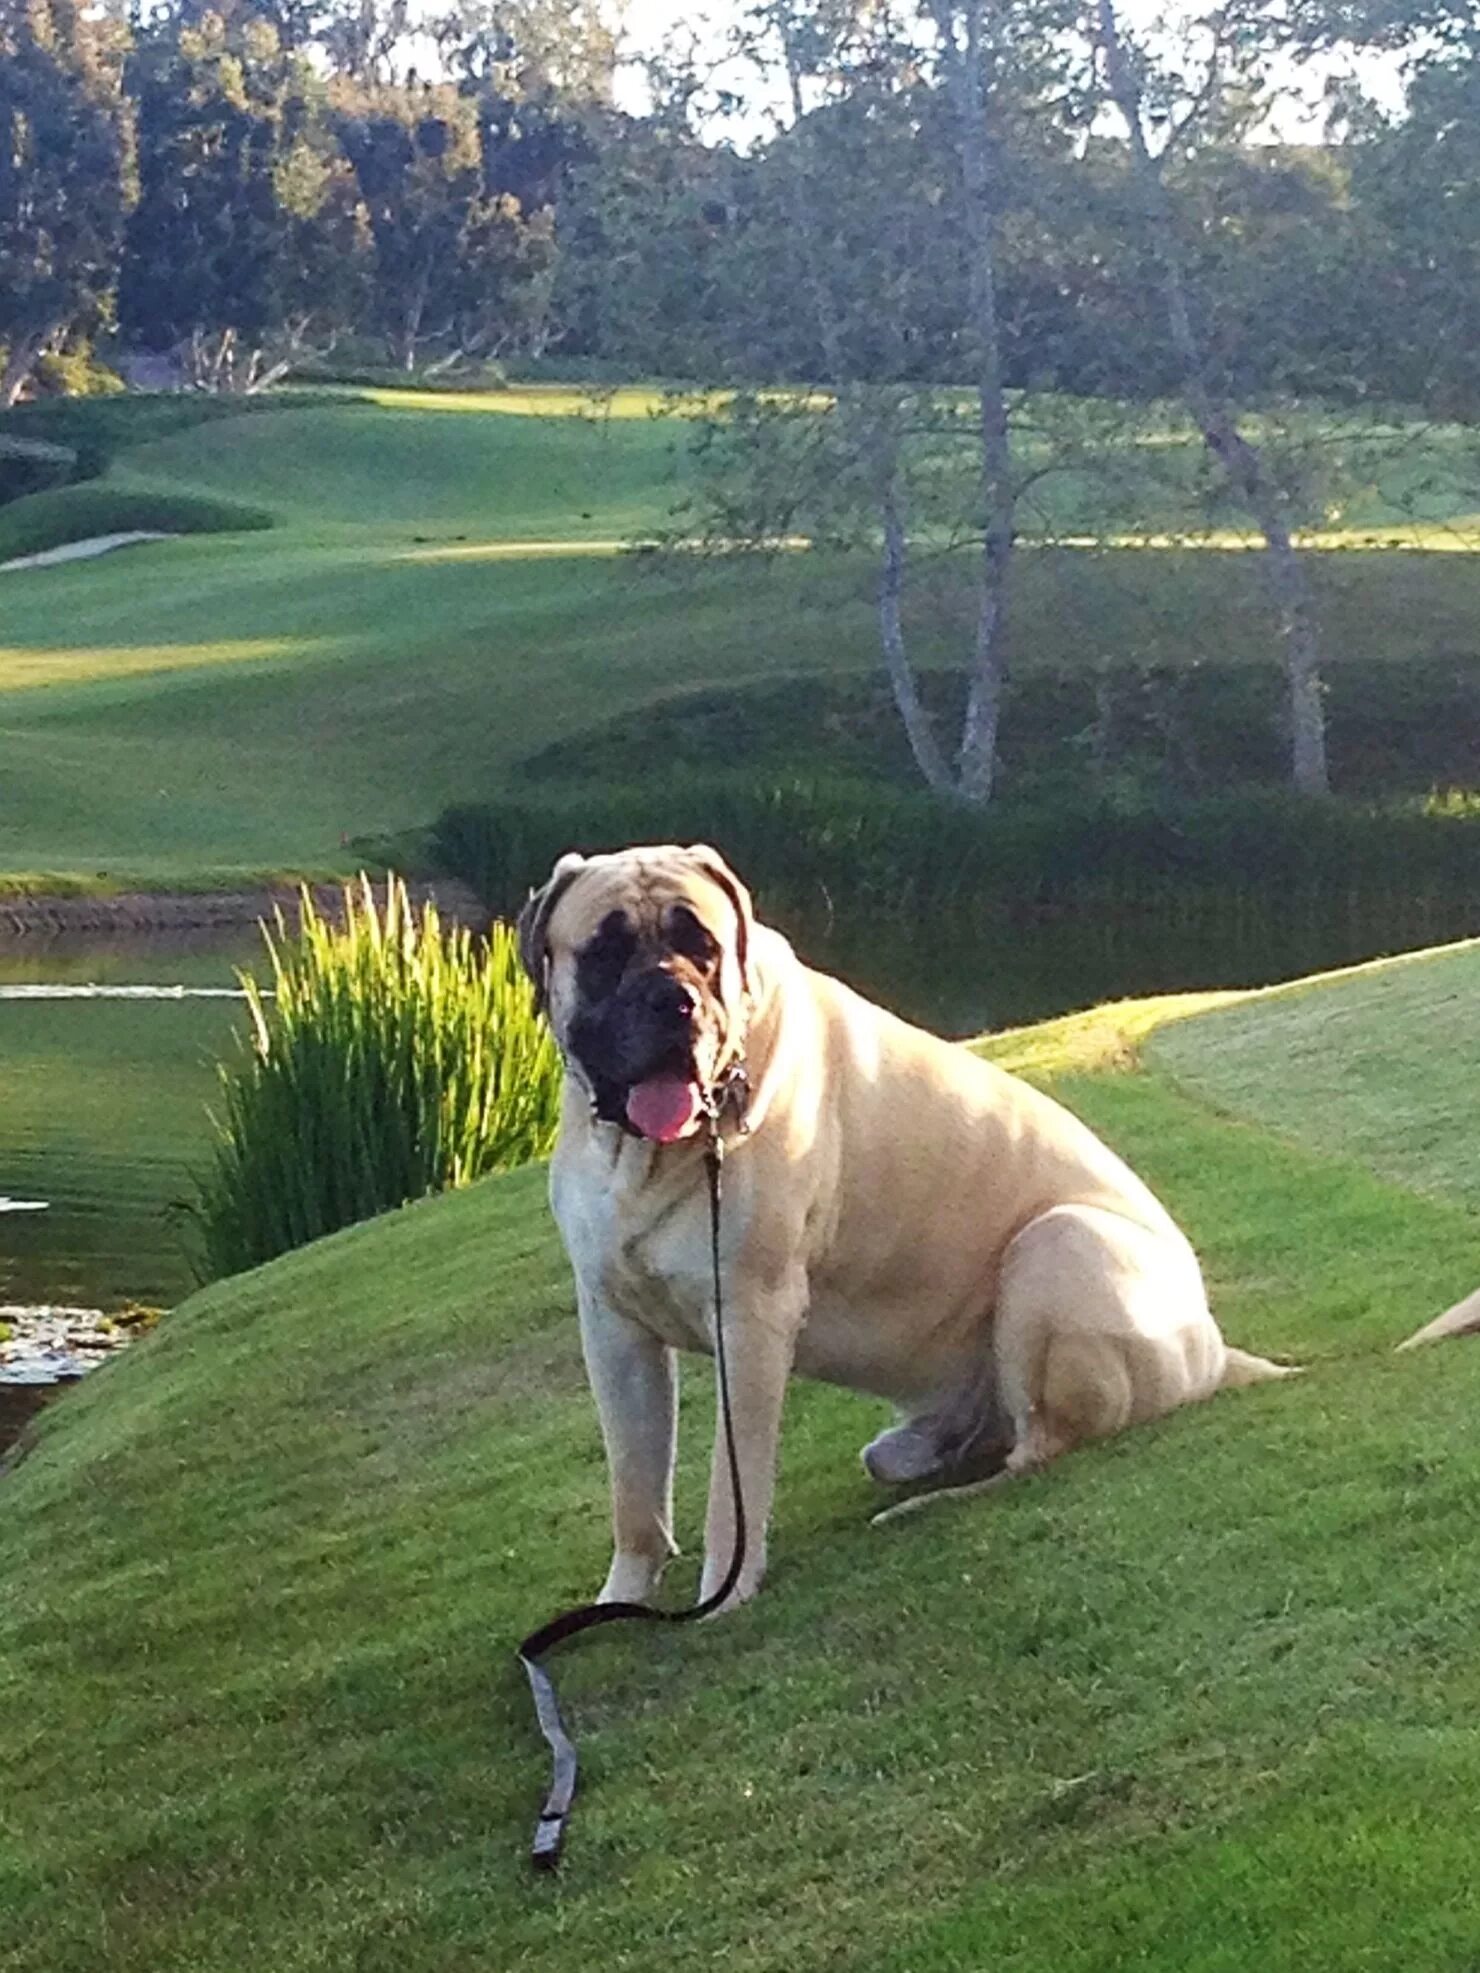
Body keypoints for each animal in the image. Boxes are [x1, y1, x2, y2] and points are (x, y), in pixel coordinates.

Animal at [524, 840, 1294, 1609]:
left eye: (702, 947)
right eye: (605, 951)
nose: (673, 1000)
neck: (646, 1155)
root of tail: (1213, 1349)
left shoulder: (750, 1317)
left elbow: (731, 1486)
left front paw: (725, 1594)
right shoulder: (614, 1327)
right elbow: (634, 1489)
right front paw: (621, 1599)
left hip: (1059, 1241)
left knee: (1038, 1450)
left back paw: (922, 1505)